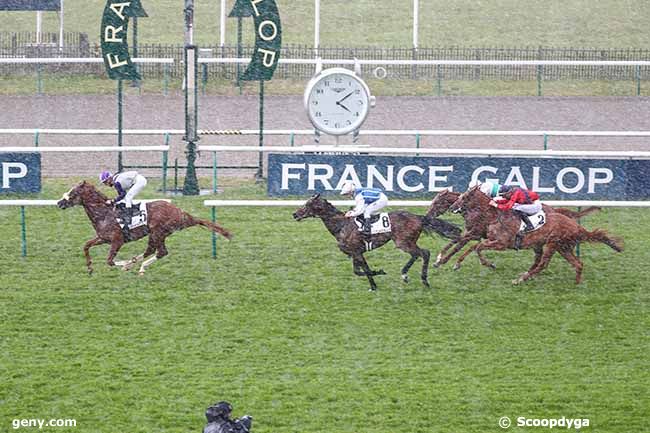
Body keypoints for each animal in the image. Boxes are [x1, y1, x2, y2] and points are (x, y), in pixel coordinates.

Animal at [55, 181, 232, 276]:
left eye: (73, 192)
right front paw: (90, 268)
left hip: (157, 232)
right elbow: (86, 246)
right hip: (156, 234)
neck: (104, 213)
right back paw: (138, 265)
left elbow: (110, 261)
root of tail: (181, 212)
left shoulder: (117, 240)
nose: (59, 202)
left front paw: (125, 265)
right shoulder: (103, 238)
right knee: (153, 251)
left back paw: (136, 265)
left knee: (160, 252)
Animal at [292, 193, 458, 290]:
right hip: (407, 242)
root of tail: (418, 217)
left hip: (403, 242)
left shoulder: (356, 252)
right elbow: (359, 270)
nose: (295, 214)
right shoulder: (356, 253)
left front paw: (379, 273)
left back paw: (421, 279)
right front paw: (373, 285)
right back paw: (407, 275)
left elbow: (364, 270)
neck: (341, 225)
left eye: (307, 204)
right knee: (418, 254)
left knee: (424, 253)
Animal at [428, 187, 600, 268]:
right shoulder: (473, 233)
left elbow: (460, 245)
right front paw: (440, 260)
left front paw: (445, 261)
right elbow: (457, 243)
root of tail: (554, 210)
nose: (428, 215)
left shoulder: (475, 233)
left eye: (437, 202)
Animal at [446, 185, 616, 284]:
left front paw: (488, 264)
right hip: (561, 247)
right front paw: (457, 264)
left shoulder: (501, 243)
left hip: (553, 244)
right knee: (577, 264)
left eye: (464, 197)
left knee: (543, 264)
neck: (494, 216)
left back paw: (521, 279)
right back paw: (576, 283)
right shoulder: (490, 239)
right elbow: (474, 247)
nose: (452, 207)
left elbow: (477, 247)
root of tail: (577, 226)